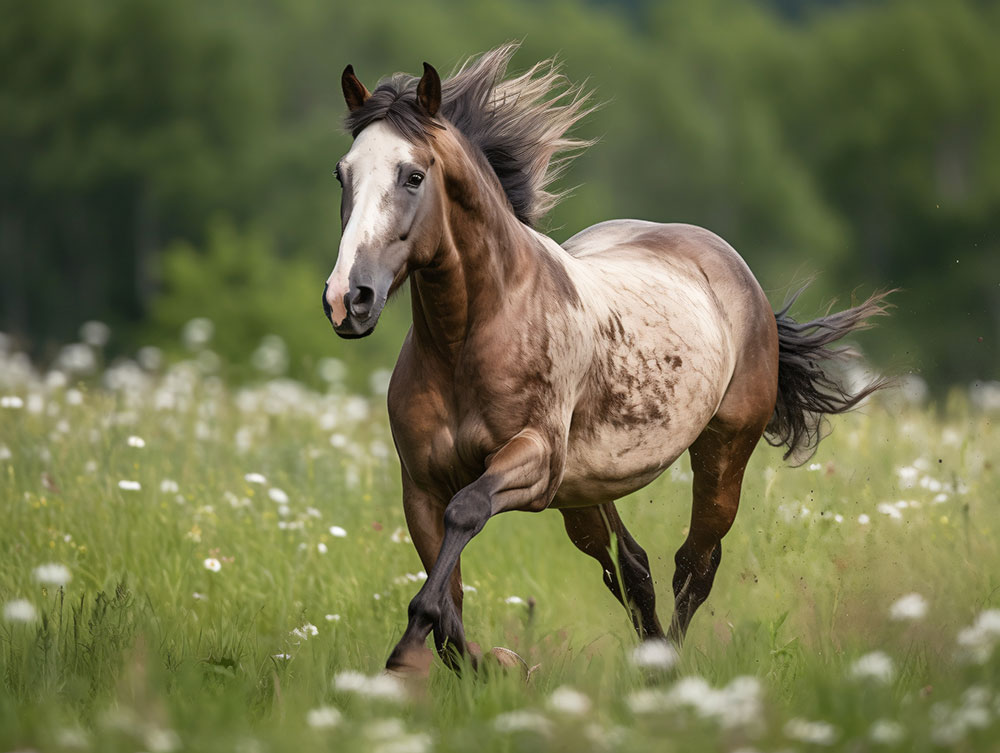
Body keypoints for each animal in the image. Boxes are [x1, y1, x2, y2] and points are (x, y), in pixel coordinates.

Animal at [320, 44, 892, 672]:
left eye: (413, 176)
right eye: (342, 173)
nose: (348, 299)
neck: (465, 342)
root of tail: (734, 269)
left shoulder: (533, 459)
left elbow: (464, 517)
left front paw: (426, 655)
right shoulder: (421, 487)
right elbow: (448, 608)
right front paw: (491, 665)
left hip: (721, 453)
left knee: (694, 564)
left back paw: (670, 670)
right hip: (585, 492)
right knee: (631, 567)